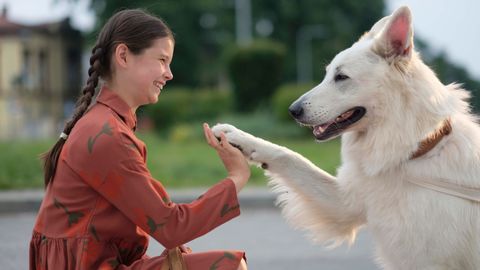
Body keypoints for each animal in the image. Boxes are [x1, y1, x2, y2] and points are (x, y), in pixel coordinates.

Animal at [216, 6, 480, 270]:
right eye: (327, 75)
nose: (292, 110)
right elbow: (289, 155)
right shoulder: (345, 204)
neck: (419, 151)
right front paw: (237, 138)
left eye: (341, 77)